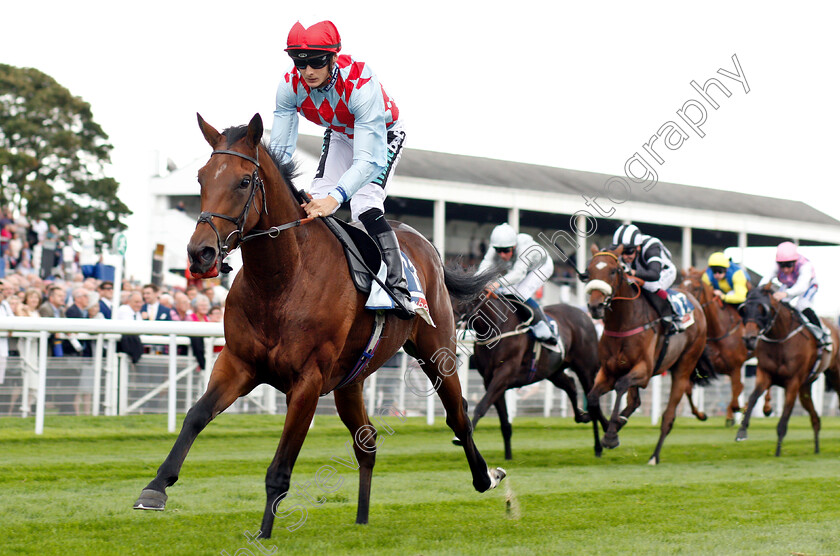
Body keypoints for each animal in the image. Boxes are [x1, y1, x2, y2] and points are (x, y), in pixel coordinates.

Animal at [131, 114, 506, 540]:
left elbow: (280, 468)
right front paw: (155, 487)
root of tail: (427, 245)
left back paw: (486, 477)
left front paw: (263, 534)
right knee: (367, 441)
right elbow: (195, 415)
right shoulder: (238, 363)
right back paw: (361, 518)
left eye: (243, 181)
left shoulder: (307, 380)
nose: (200, 253)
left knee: (458, 413)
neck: (281, 279)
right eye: (201, 178)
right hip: (351, 380)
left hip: (434, 349)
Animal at [452, 294, 604, 458]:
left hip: (585, 369)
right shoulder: (490, 381)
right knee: (570, 385)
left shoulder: (503, 375)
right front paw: (508, 457)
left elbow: (481, 406)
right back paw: (583, 416)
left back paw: (600, 444)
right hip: (552, 371)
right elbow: (504, 423)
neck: (497, 327)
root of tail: (585, 315)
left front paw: (461, 436)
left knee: (593, 402)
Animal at [584, 244, 716, 464]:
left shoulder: (644, 371)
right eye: (589, 271)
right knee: (634, 401)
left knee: (668, 416)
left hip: (683, 366)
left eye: (613, 271)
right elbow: (593, 396)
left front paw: (610, 436)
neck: (623, 323)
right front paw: (607, 430)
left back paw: (654, 456)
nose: (595, 306)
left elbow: (620, 386)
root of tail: (695, 303)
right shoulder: (608, 370)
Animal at [680, 268, 752, 424]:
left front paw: (743, 409)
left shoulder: (735, 366)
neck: (720, 329)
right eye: (681, 285)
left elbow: (737, 394)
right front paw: (700, 414)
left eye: (696, 288)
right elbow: (687, 388)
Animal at [736, 284, 840, 454]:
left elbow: (784, 419)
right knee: (815, 419)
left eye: (763, 309)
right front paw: (742, 431)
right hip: (805, 388)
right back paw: (816, 449)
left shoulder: (793, 382)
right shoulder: (765, 374)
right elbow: (752, 398)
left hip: (834, 375)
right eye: (744, 309)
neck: (780, 340)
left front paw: (778, 452)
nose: (749, 339)